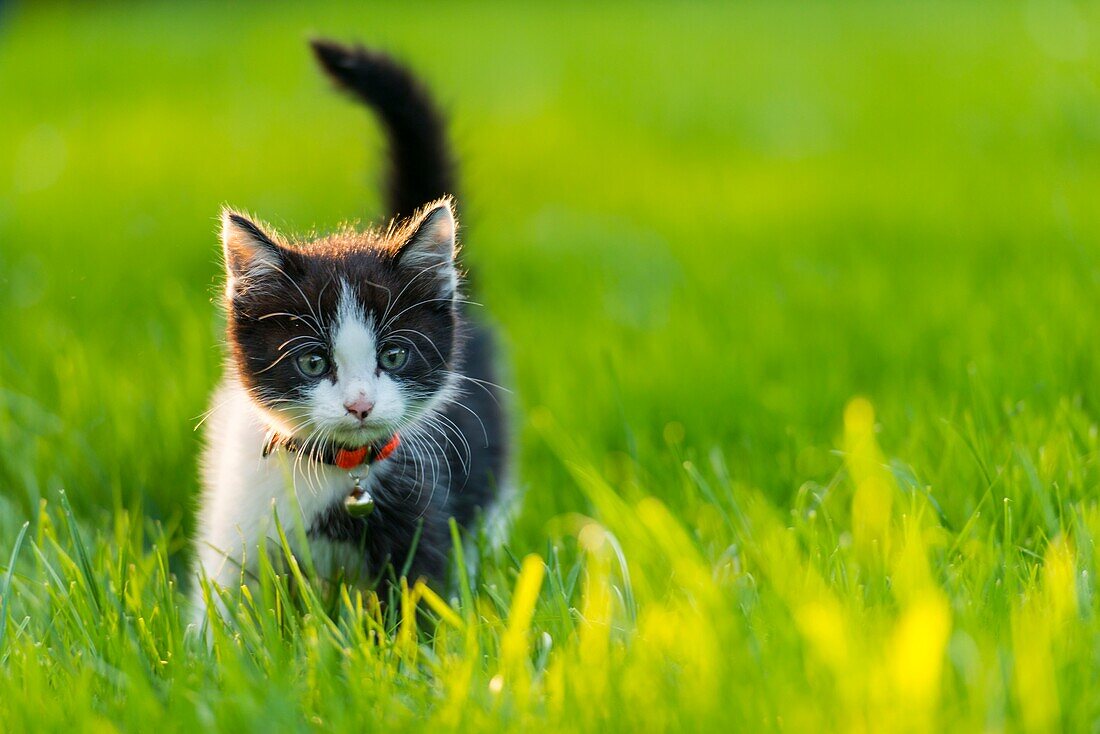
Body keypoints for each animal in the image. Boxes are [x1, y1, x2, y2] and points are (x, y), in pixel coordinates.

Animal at [191, 40, 508, 625]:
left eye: (395, 356)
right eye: (313, 362)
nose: (360, 405)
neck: (338, 471)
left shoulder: (419, 506)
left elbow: (419, 595)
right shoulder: (238, 516)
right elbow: (222, 599)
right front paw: (205, 647)